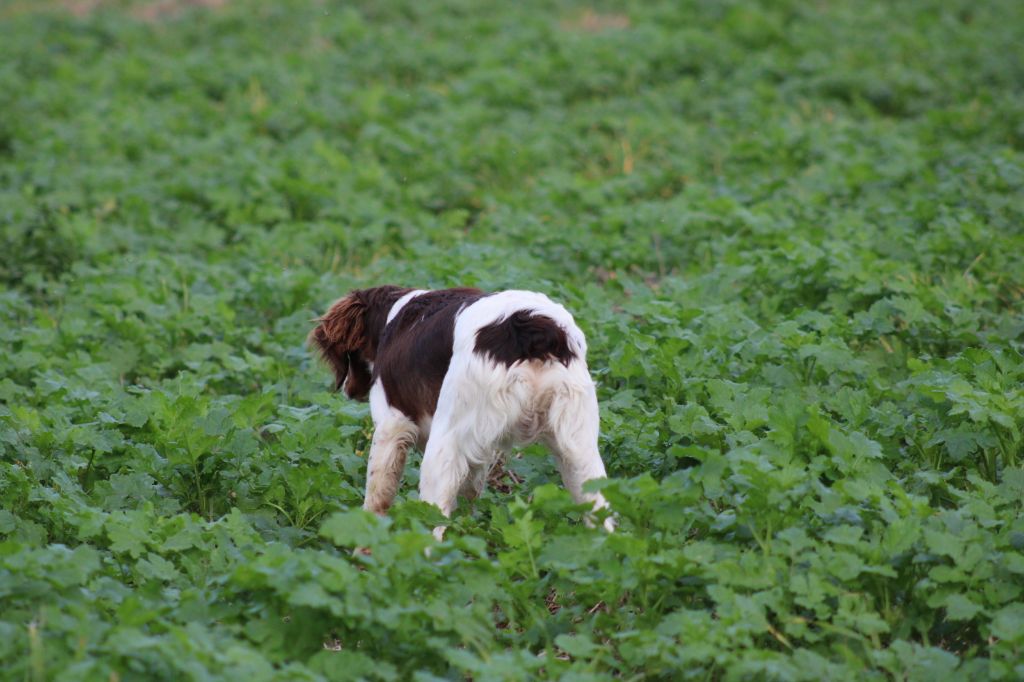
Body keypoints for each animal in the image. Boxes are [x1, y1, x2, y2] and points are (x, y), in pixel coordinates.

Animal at [307, 284, 610, 532]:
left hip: (442, 448)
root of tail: (529, 325)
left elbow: (376, 497)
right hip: (580, 452)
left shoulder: (391, 425)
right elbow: (467, 499)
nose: (347, 390)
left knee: (432, 525)